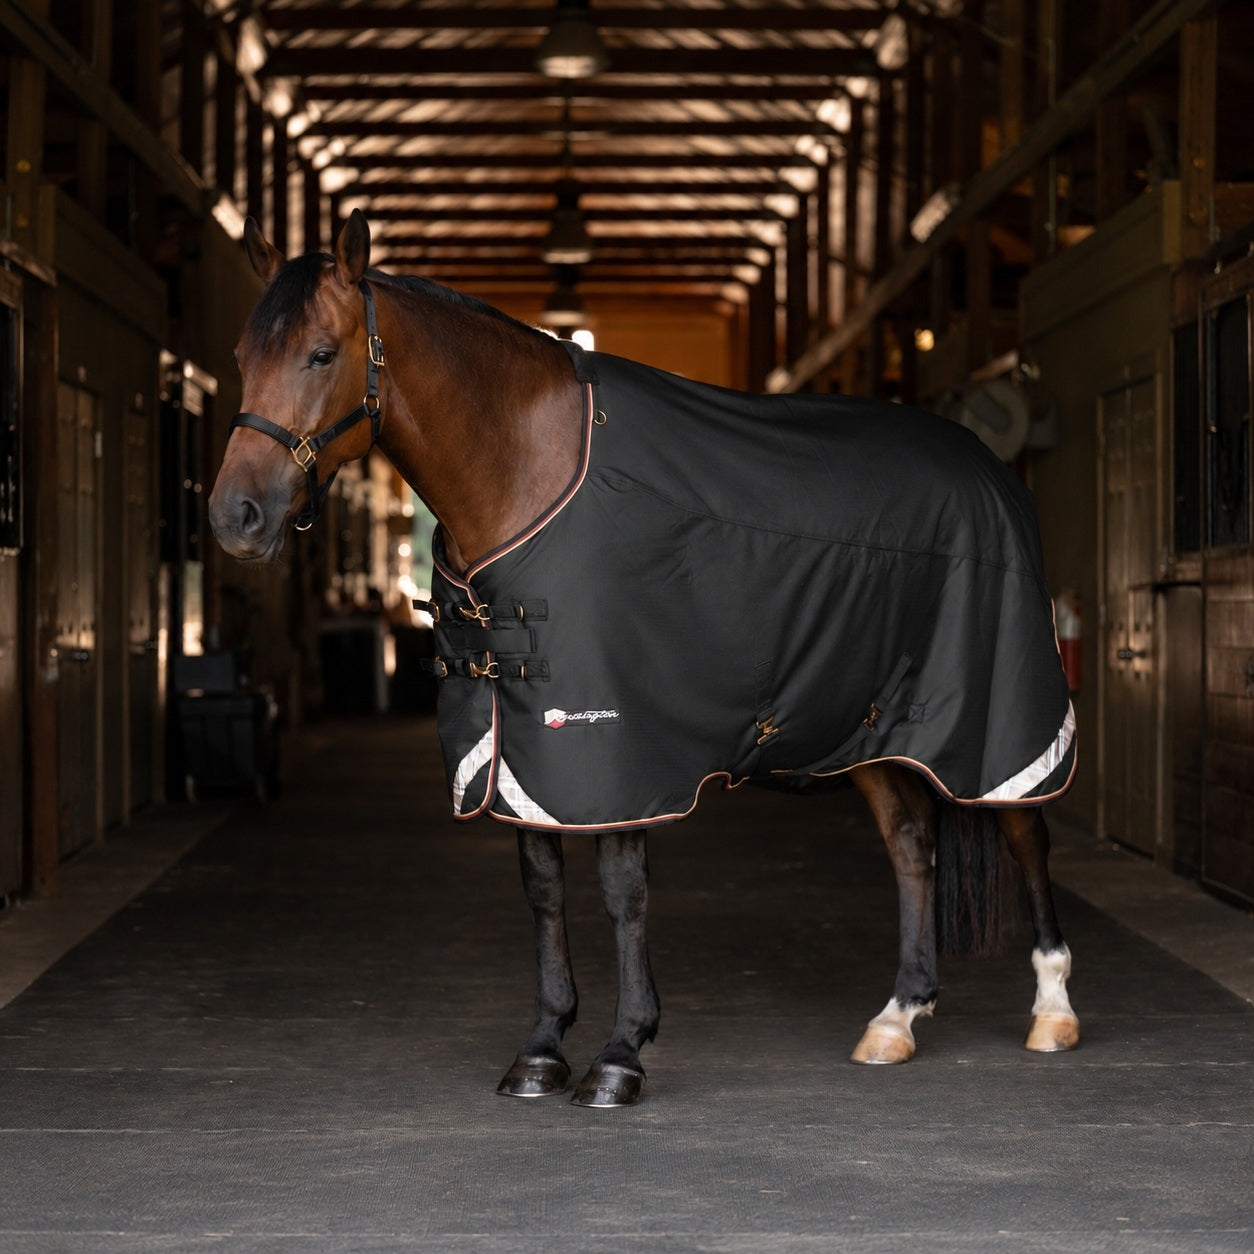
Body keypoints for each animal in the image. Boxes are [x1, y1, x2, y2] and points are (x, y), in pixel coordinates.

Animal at [209, 210, 1080, 1108]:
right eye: (242, 356)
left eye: (321, 352)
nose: (235, 516)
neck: (531, 472)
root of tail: (992, 471)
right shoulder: (521, 749)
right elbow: (543, 888)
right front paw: (542, 1048)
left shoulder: (615, 744)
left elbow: (623, 892)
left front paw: (621, 1054)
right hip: (876, 727)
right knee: (912, 843)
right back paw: (896, 1018)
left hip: (1000, 725)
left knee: (1026, 831)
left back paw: (1052, 1010)